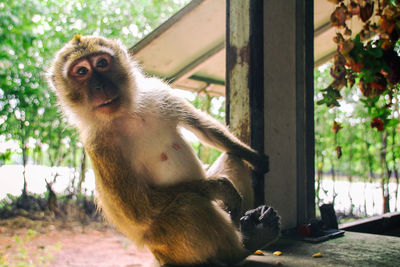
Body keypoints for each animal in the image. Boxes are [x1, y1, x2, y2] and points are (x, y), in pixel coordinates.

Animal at [48, 35, 280, 266]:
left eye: (102, 63)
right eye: (81, 71)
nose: (100, 86)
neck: (124, 115)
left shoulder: (158, 93)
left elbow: (204, 129)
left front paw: (257, 159)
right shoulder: (100, 146)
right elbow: (139, 207)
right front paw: (218, 187)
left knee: (232, 158)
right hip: (168, 246)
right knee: (188, 204)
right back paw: (242, 247)